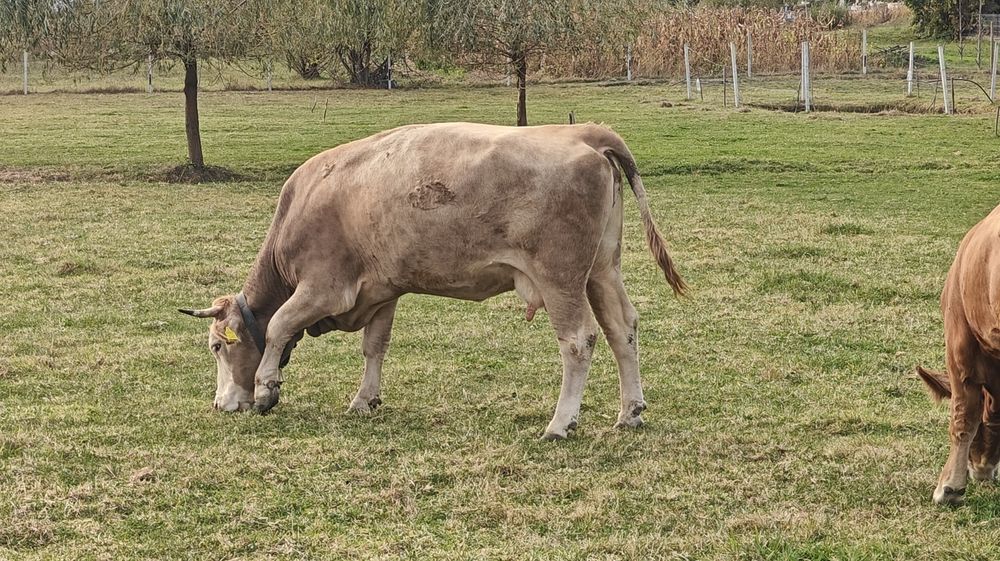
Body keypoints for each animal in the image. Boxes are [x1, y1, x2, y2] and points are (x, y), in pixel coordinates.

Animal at [180, 122, 685, 440]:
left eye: (218, 346)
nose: (220, 404)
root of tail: (585, 133)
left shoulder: (323, 287)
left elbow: (280, 326)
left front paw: (267, 389)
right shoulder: (382, 292)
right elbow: (374, 346)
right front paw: (365, 399)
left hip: (560, 279)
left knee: (579, 341)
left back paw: (560, 424)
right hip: (602, 271)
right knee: (623, 329)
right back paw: (630, 412)